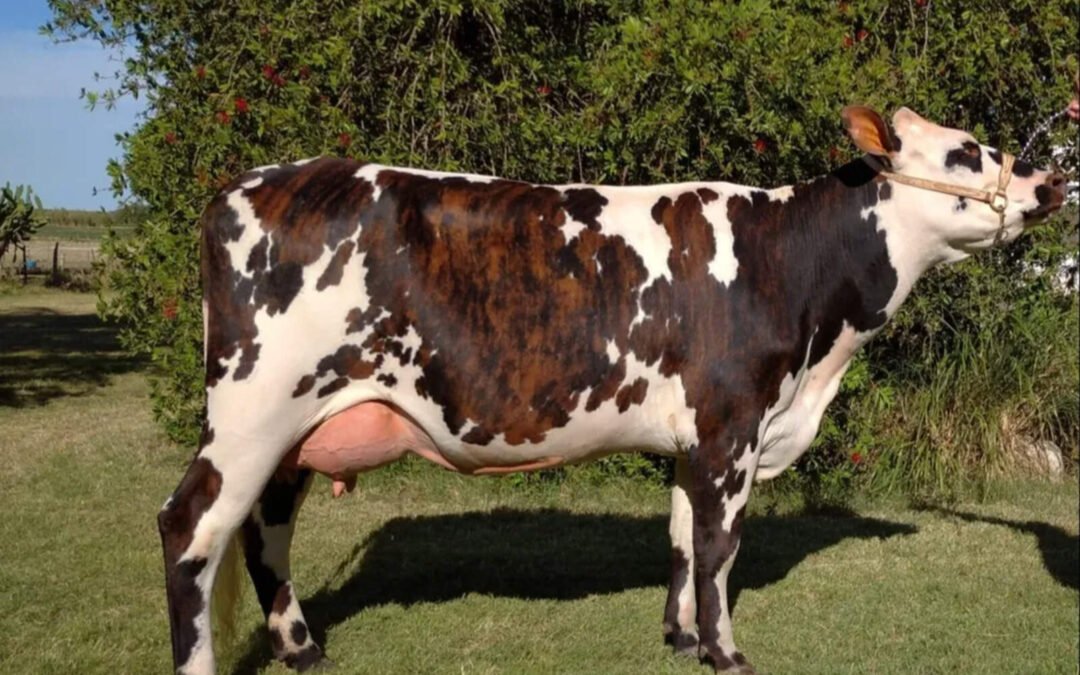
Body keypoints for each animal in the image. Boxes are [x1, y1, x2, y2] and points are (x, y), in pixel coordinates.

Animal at [157, 105, 1066, 674]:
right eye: (965, 151)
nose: (1050, 182)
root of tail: (250, 183)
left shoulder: (694, 438)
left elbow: (679, 537)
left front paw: (679, 637)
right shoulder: (732, 423)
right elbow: (720, 547)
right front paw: (727, 653)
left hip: (294, 431)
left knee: (264, 532)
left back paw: (303, 647)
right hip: (252, 410)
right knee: (191, 527)